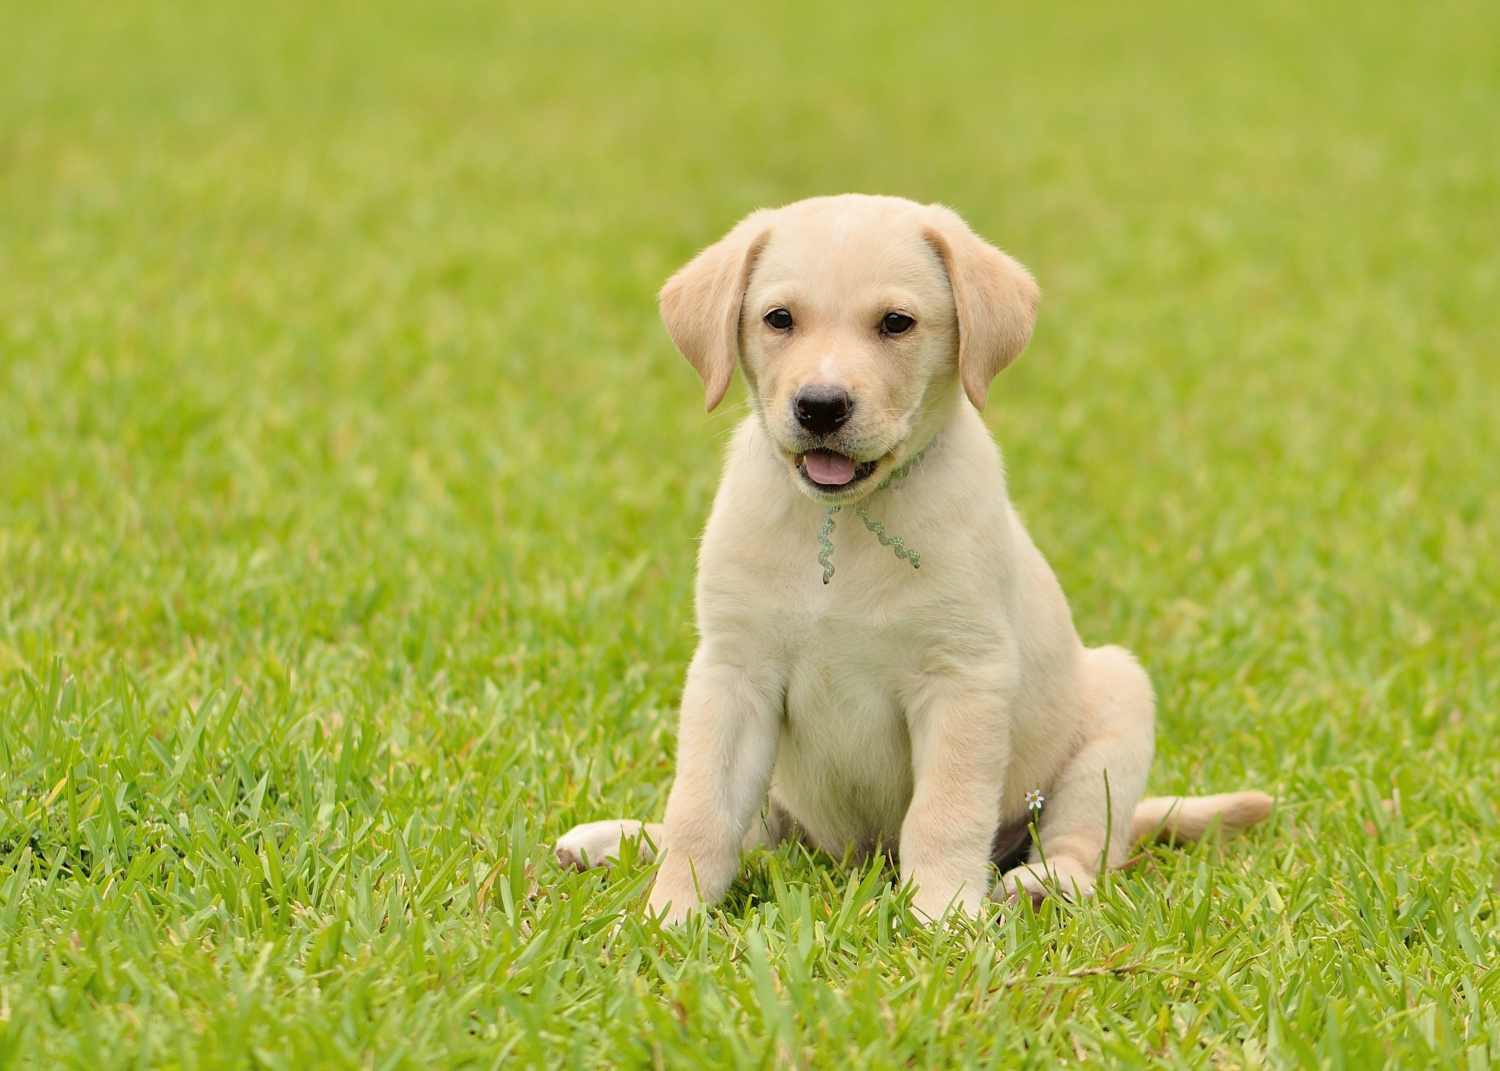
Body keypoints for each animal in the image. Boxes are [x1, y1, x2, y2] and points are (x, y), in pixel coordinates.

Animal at [558, 192, 1272, 918]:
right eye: (779, 319)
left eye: (896, 323)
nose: (820, 406)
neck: (843, 524)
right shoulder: (733, 673)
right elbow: (700, 809)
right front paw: (671, 913)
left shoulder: (962, 676)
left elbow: (945, 810)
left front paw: (945, 915)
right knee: (756, 833)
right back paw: (615, 839)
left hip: (1116, 709)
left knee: (1085, 839)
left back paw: (1042, 882)